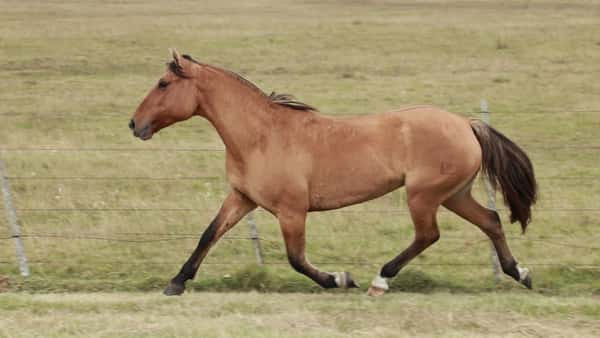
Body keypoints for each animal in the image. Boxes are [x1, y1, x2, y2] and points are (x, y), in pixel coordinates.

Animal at [129, 49, 536, 296]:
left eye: (163, 84)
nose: (134, 124)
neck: (261, 136)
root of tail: (466, 124)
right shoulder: (242, 199)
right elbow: (209, 235)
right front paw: (176, 283)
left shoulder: (292, 211)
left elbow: (296, 258)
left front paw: (340, 279)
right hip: (454, 194)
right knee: (491, 220)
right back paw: (521, 273)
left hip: (423, 196)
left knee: (428, 235)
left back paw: (379, 280)